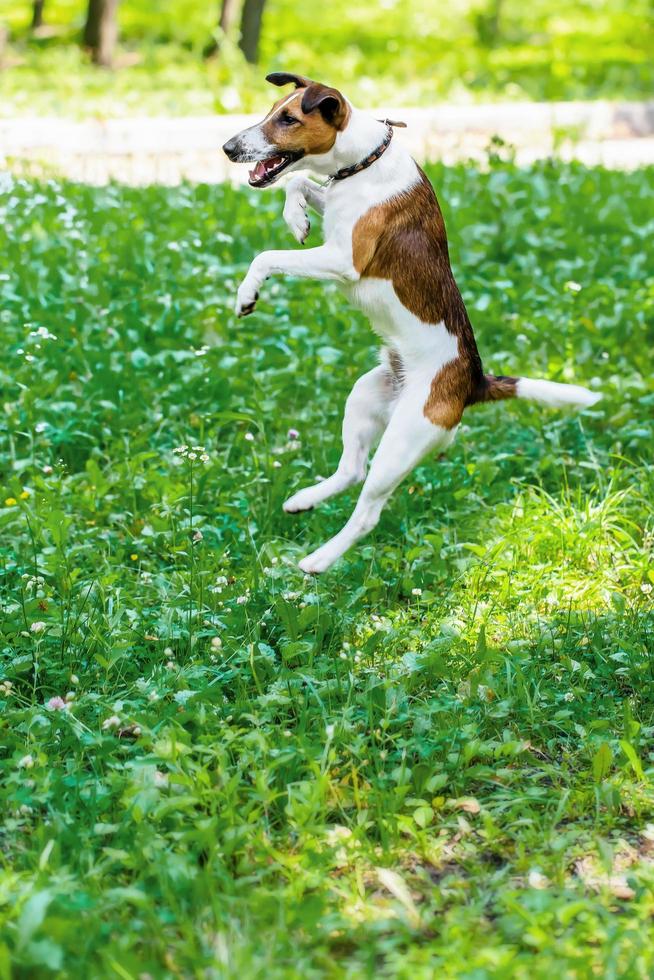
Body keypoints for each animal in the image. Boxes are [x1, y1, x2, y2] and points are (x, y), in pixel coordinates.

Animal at [223, 74, 604, 576]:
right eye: (271, 111)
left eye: (287, 119)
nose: (228, 147)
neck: (360, 163)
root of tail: (474, 383)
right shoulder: (331, 211)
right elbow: (300, 183)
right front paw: (297, 217)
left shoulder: (343, 259)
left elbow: (268, 255)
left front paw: (247, 292)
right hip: (366, 394)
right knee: (352, 469)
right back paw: (304, 500)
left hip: (402, 441)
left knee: (367, 511)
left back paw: (320, 559)